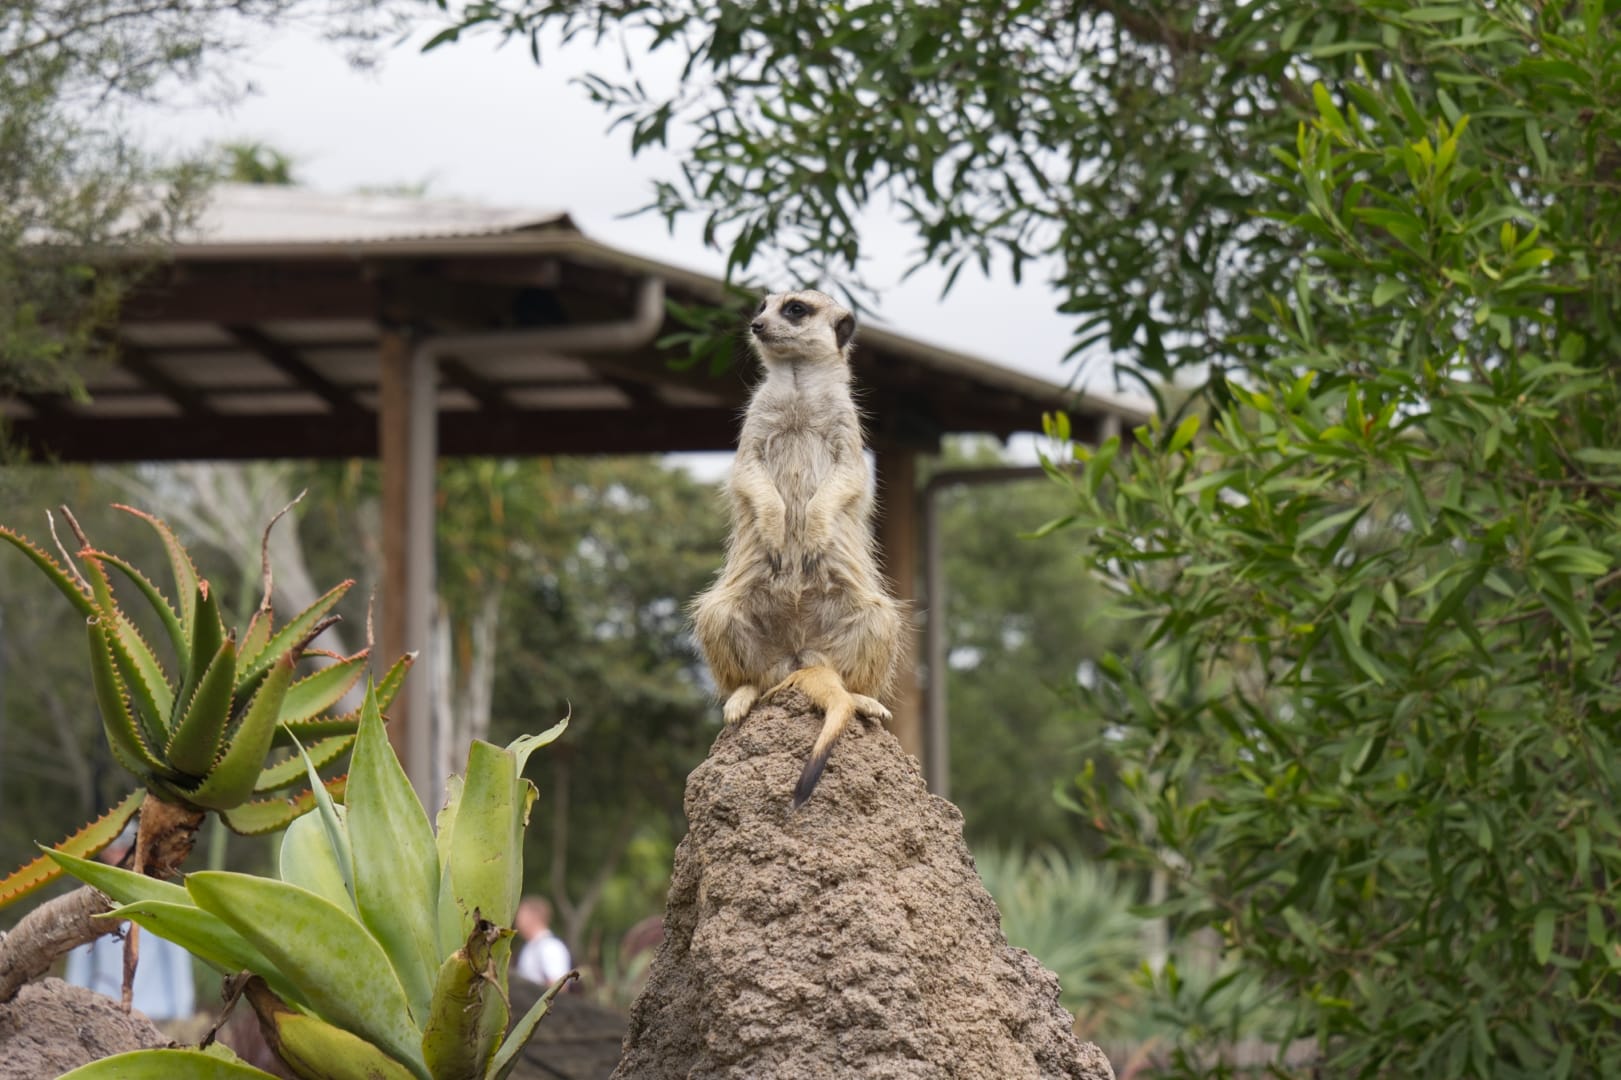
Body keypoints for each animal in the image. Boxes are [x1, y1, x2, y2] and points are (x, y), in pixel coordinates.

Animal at [690, 288, 904, 808]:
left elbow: (848, 476)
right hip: (730, 615)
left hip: (867, 617)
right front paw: (775, 524)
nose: (756, 325)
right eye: (761, 305)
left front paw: (812, 528)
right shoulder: (755, 422)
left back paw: (864, 697)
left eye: (795, 309)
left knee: (877, 627)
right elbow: (747, 472)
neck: (798, 389)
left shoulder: (846, 426)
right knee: (721, 626)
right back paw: (741, 695)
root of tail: (800, 656)